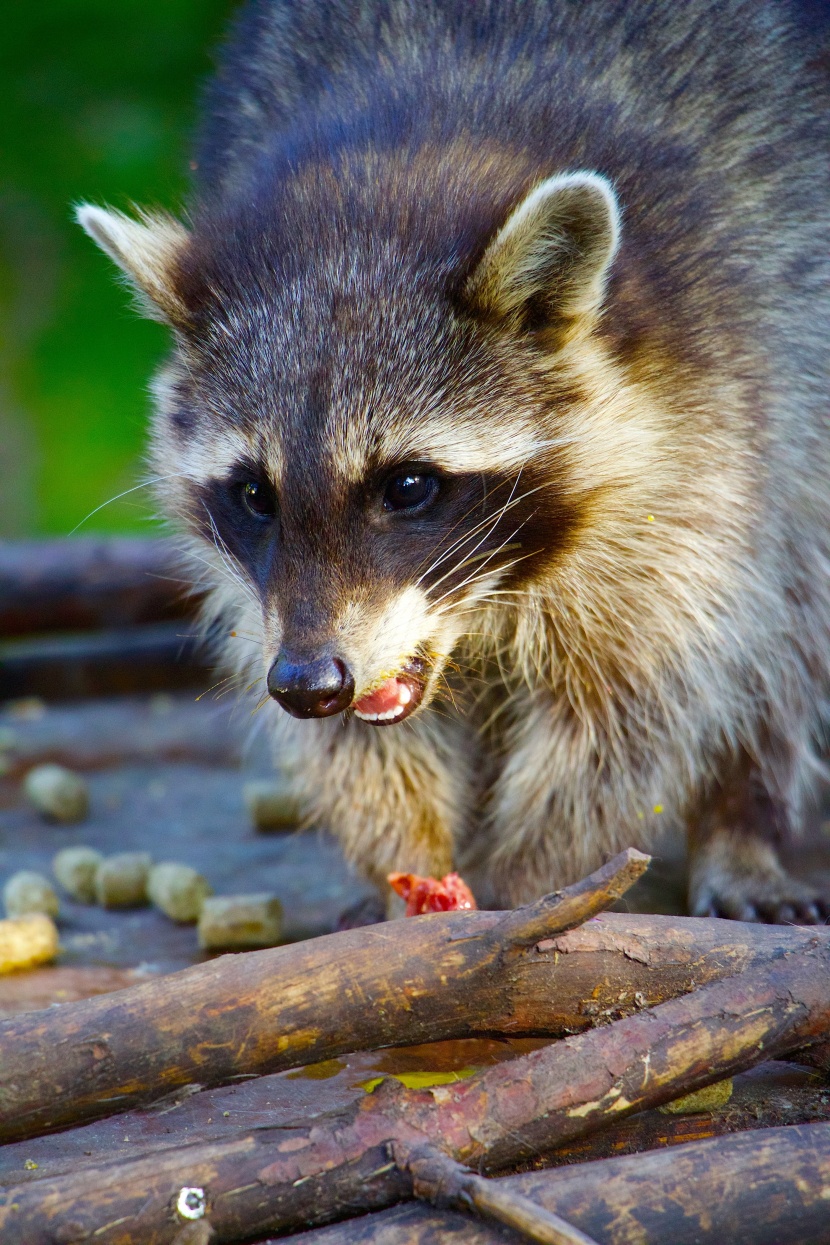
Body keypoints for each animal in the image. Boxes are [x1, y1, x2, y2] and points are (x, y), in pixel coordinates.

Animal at [77, 0, 830, 916]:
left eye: (408, 485)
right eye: (255, 494)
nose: (307, 685)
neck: (403, 162)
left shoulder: (709, 414)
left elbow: (632, 699)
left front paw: (537, 881)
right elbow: (359, 747)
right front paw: (405, 858)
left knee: (791, 602)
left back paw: (744, 821)